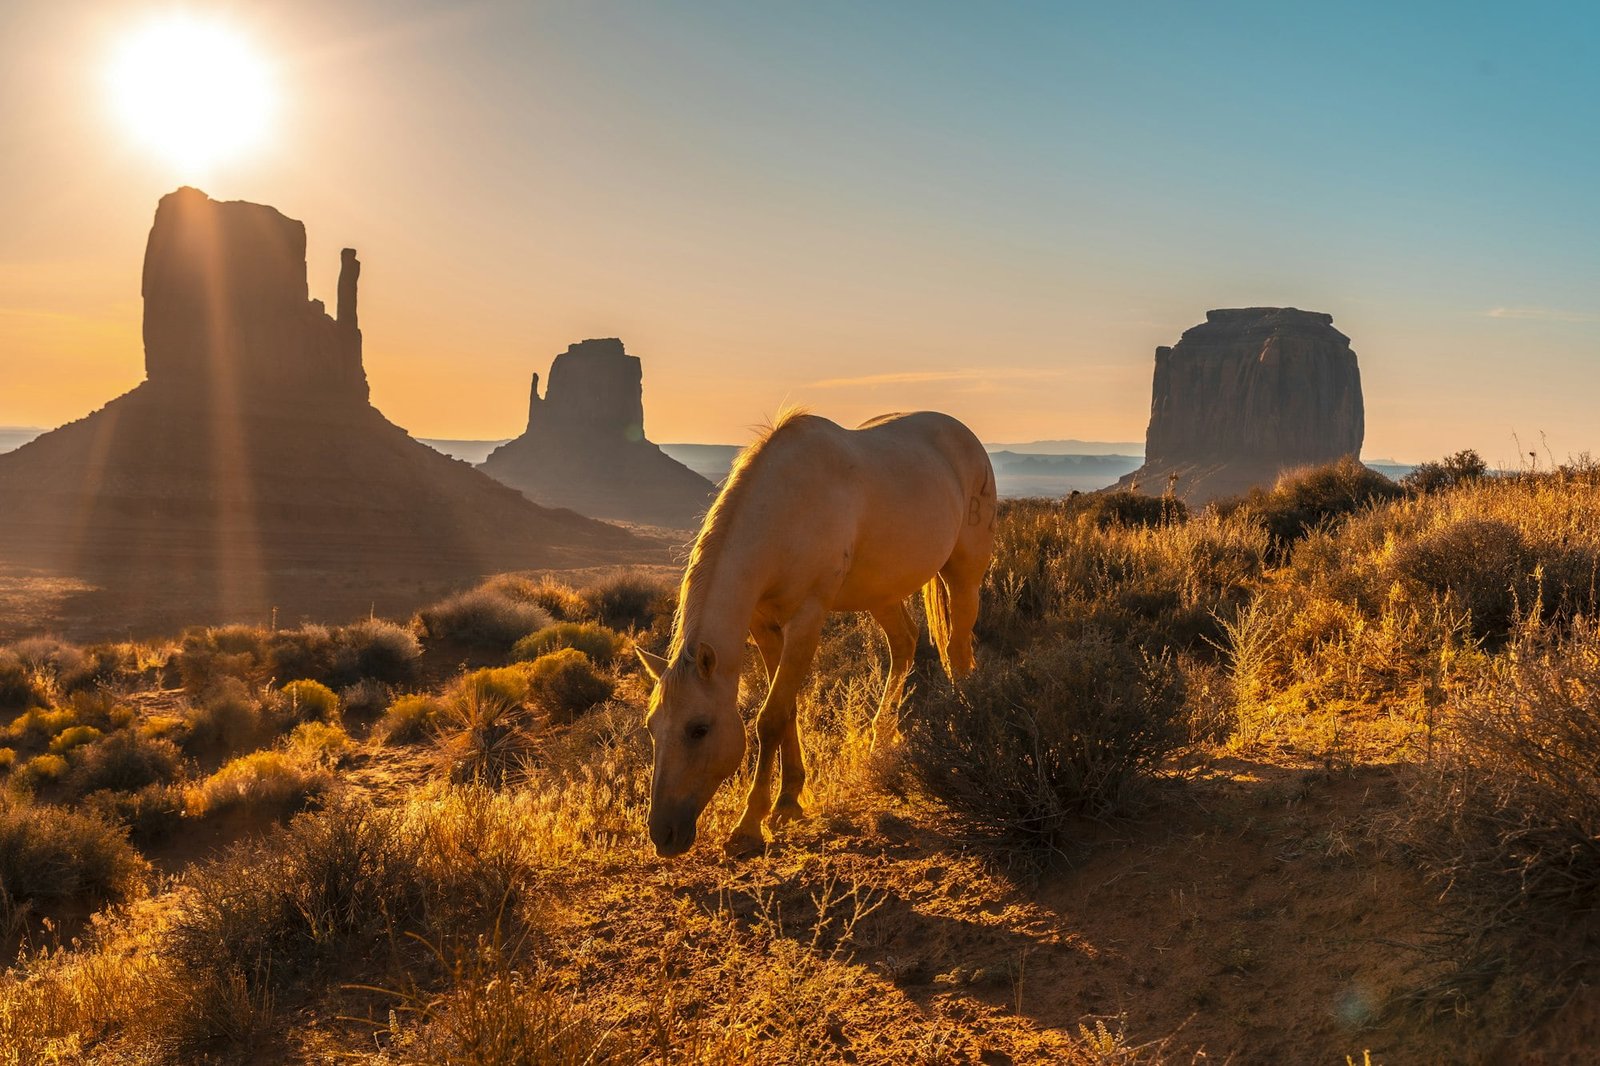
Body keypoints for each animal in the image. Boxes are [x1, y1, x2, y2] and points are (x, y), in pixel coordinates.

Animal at [633, 406, 985, 857]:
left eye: (699, 729)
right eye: (651, 726)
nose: (663, 834)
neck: (785, 510)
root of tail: (962, 433)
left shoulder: (807, 618)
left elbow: (770, 717)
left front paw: (750, 824)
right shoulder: (764, 625)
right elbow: (786, 710)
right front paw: (788, 799)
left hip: (965, 572)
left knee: (958, 651)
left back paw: (962, 731)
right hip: (881, 593)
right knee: (905, 642)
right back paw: (879, 742)